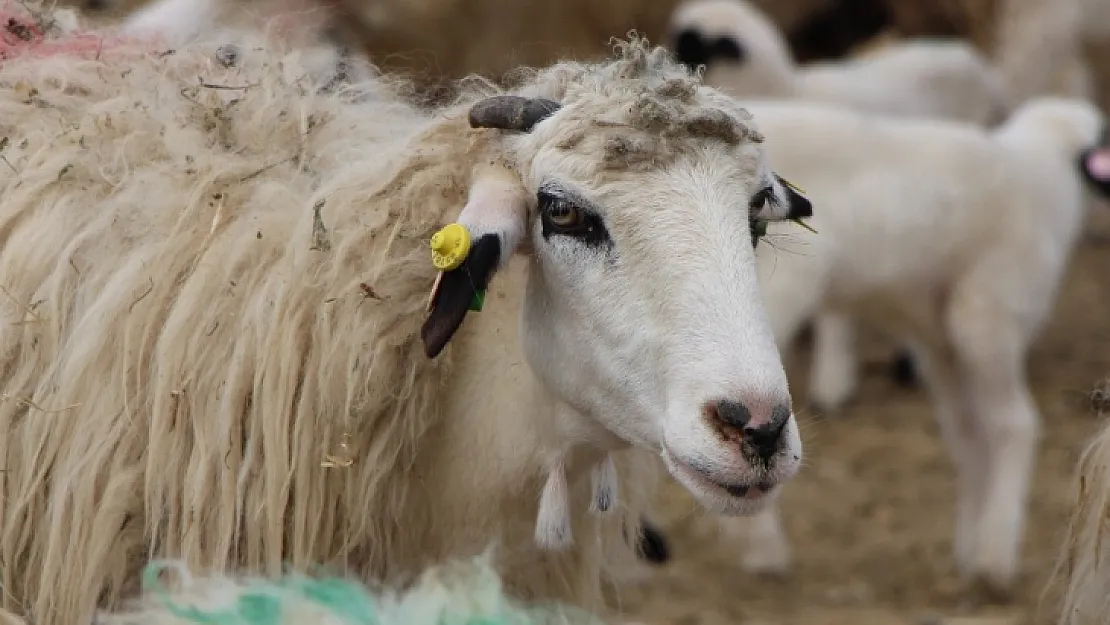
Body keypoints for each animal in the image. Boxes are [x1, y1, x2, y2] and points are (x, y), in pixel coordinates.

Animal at [674, 95, 1110, 595]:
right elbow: (1006, 427)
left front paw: (970, 545)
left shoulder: (939, 335)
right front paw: (990, 556)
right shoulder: (988, 312)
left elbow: (968, 434)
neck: (1043, 176)